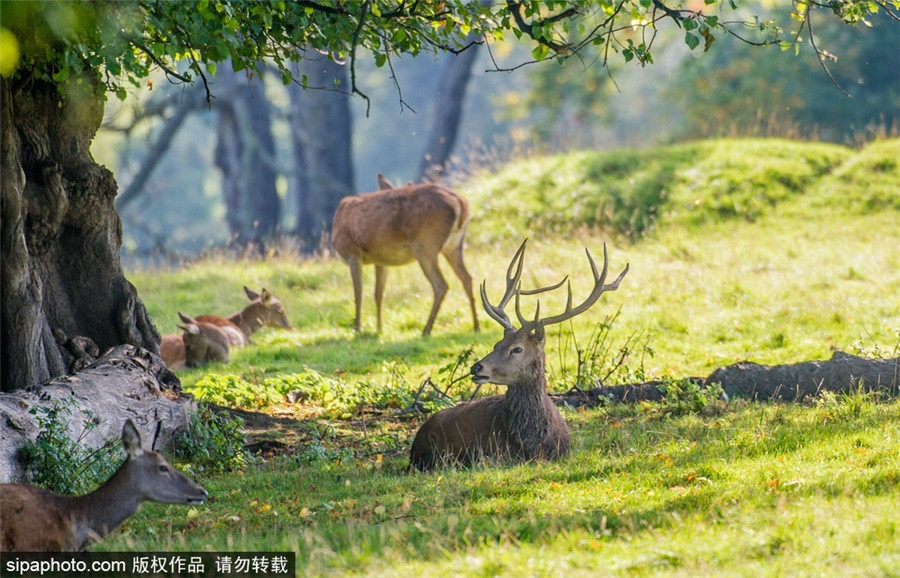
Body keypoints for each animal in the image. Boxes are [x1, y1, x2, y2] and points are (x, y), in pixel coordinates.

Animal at [330, 177, 482, 338]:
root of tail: (460, 203)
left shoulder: (352, 253)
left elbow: (358, 293)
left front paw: (357, 329)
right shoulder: (381, 261)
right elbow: (378, 294)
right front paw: (379, 329)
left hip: (425, 244)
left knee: (441, 284)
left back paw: (426, 330)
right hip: (454, 245)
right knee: (467, 278)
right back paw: (476, 326)